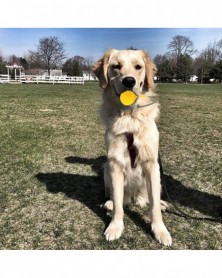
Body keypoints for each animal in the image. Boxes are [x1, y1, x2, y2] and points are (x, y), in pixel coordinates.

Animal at [92, 49, 172, 245]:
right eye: (116, 66)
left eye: (138, 67)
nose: (129, 81)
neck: (129, 116)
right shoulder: (114, 163)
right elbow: (119, 205)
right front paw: (115, 227)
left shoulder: (152, 164)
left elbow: (154, 206)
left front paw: (160, 231)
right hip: (106, 169)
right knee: (116, 198)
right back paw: (109, 204)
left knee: (151, 199)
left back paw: (161, 203)